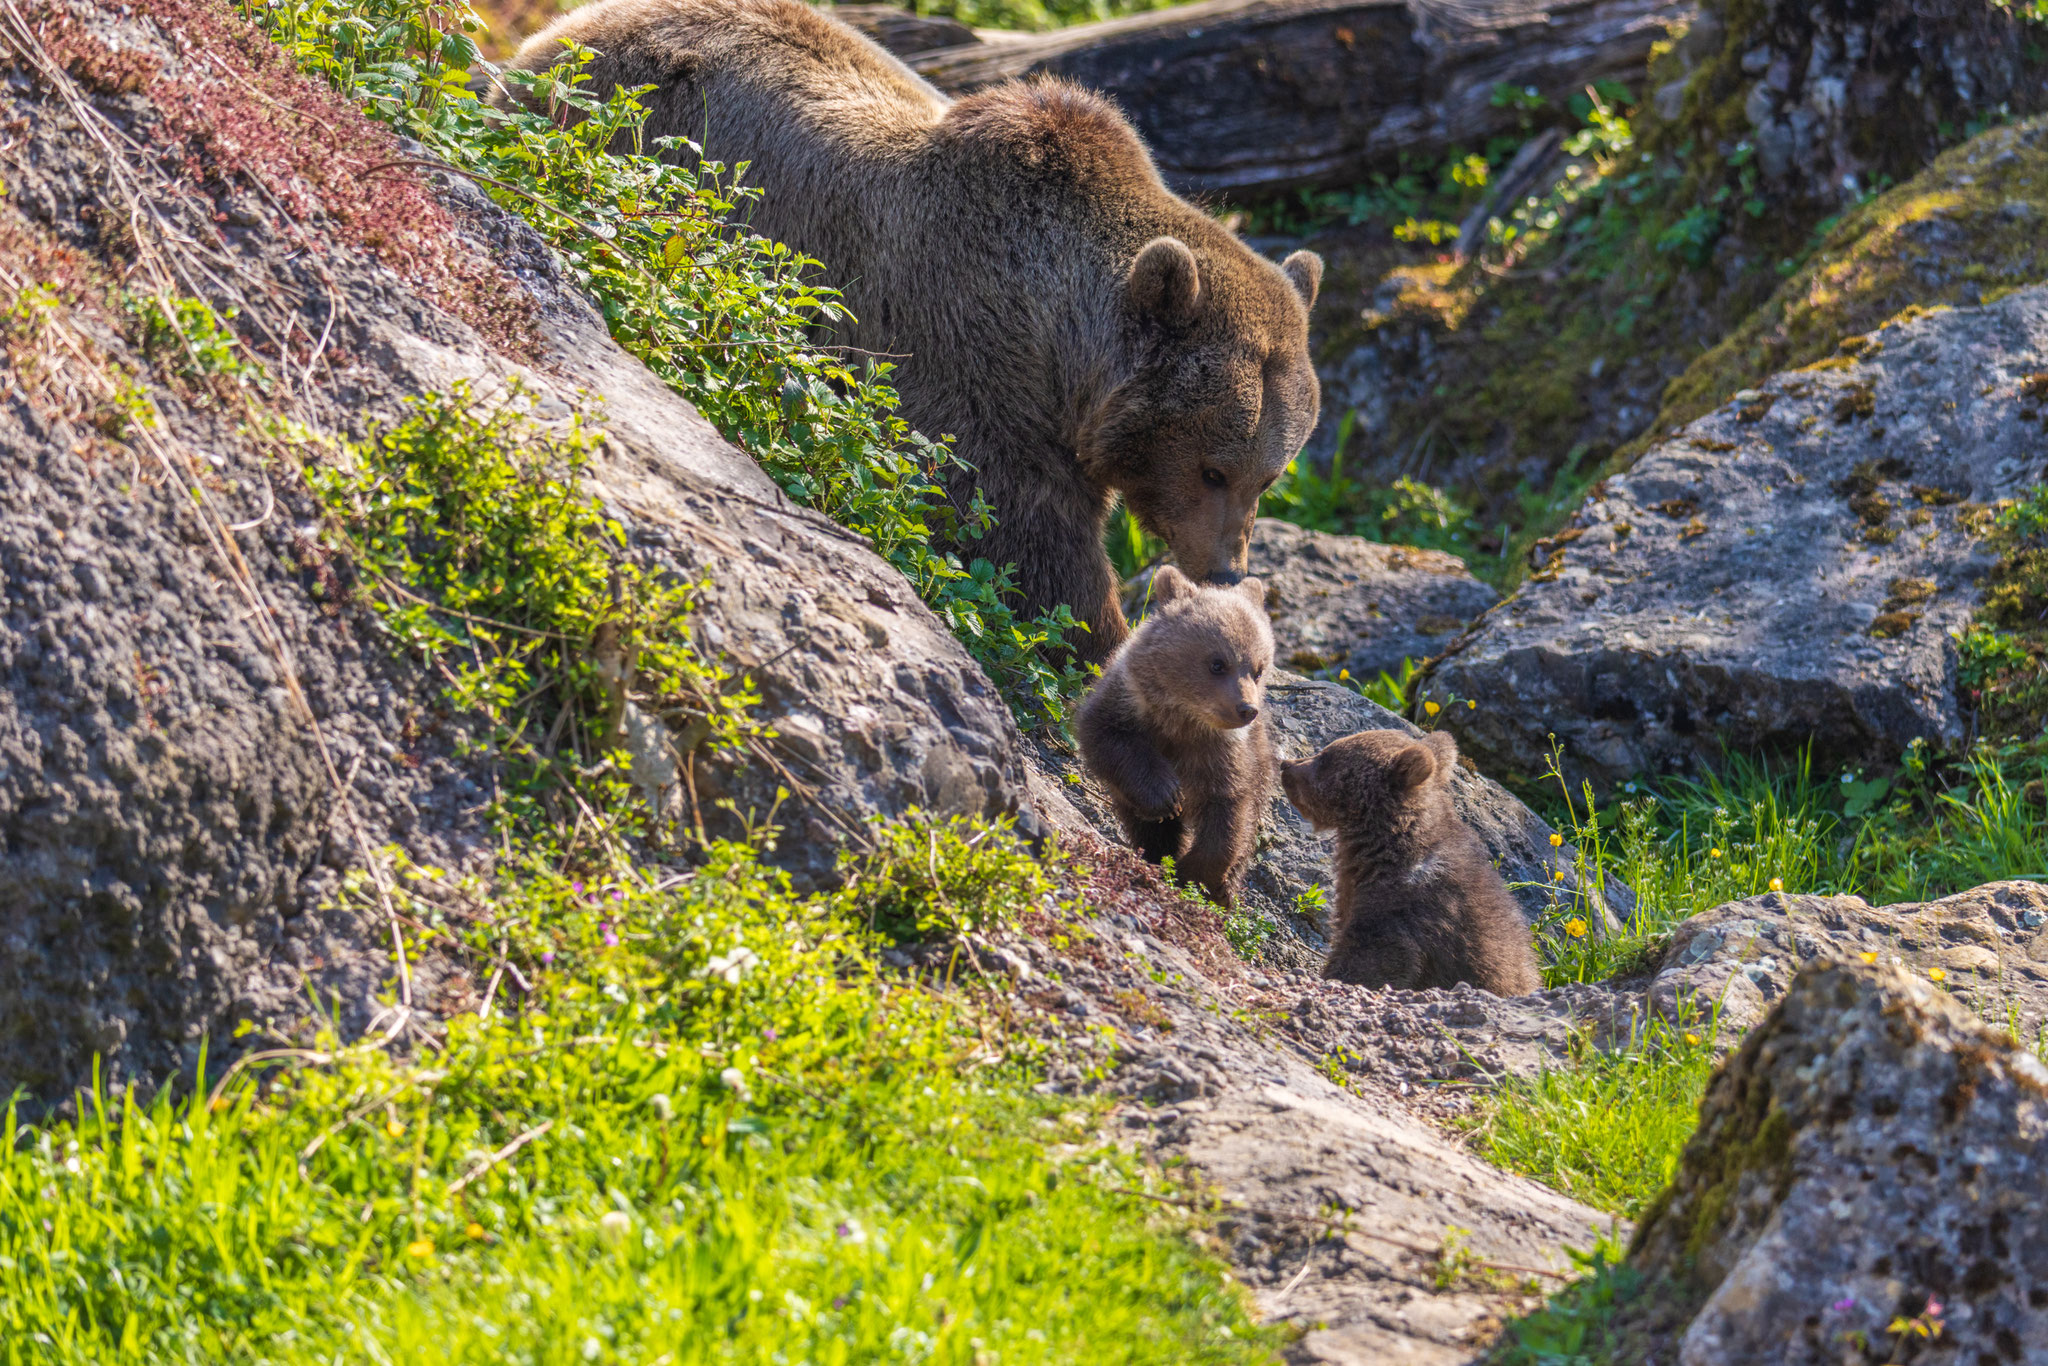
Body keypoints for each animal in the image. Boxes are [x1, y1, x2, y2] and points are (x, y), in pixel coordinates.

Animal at [501, 0, 1322, 663]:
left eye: (1269, 475)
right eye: (1213, 468)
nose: (1227, 568)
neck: (1058, 343)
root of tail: (556, 31)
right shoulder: (960, 349)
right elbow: (1014, 528)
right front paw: (1103, 638)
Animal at [1076, 564, 1276, 905]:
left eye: (1258, 669)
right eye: (1217, 663)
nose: (1246, 709)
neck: (1184, 719)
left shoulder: (1225, 756)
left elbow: (1230, 813)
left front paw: (1195, 874)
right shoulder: (1124, 705)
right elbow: (1107, 741)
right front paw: (1166, 796)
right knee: (1144, 824)